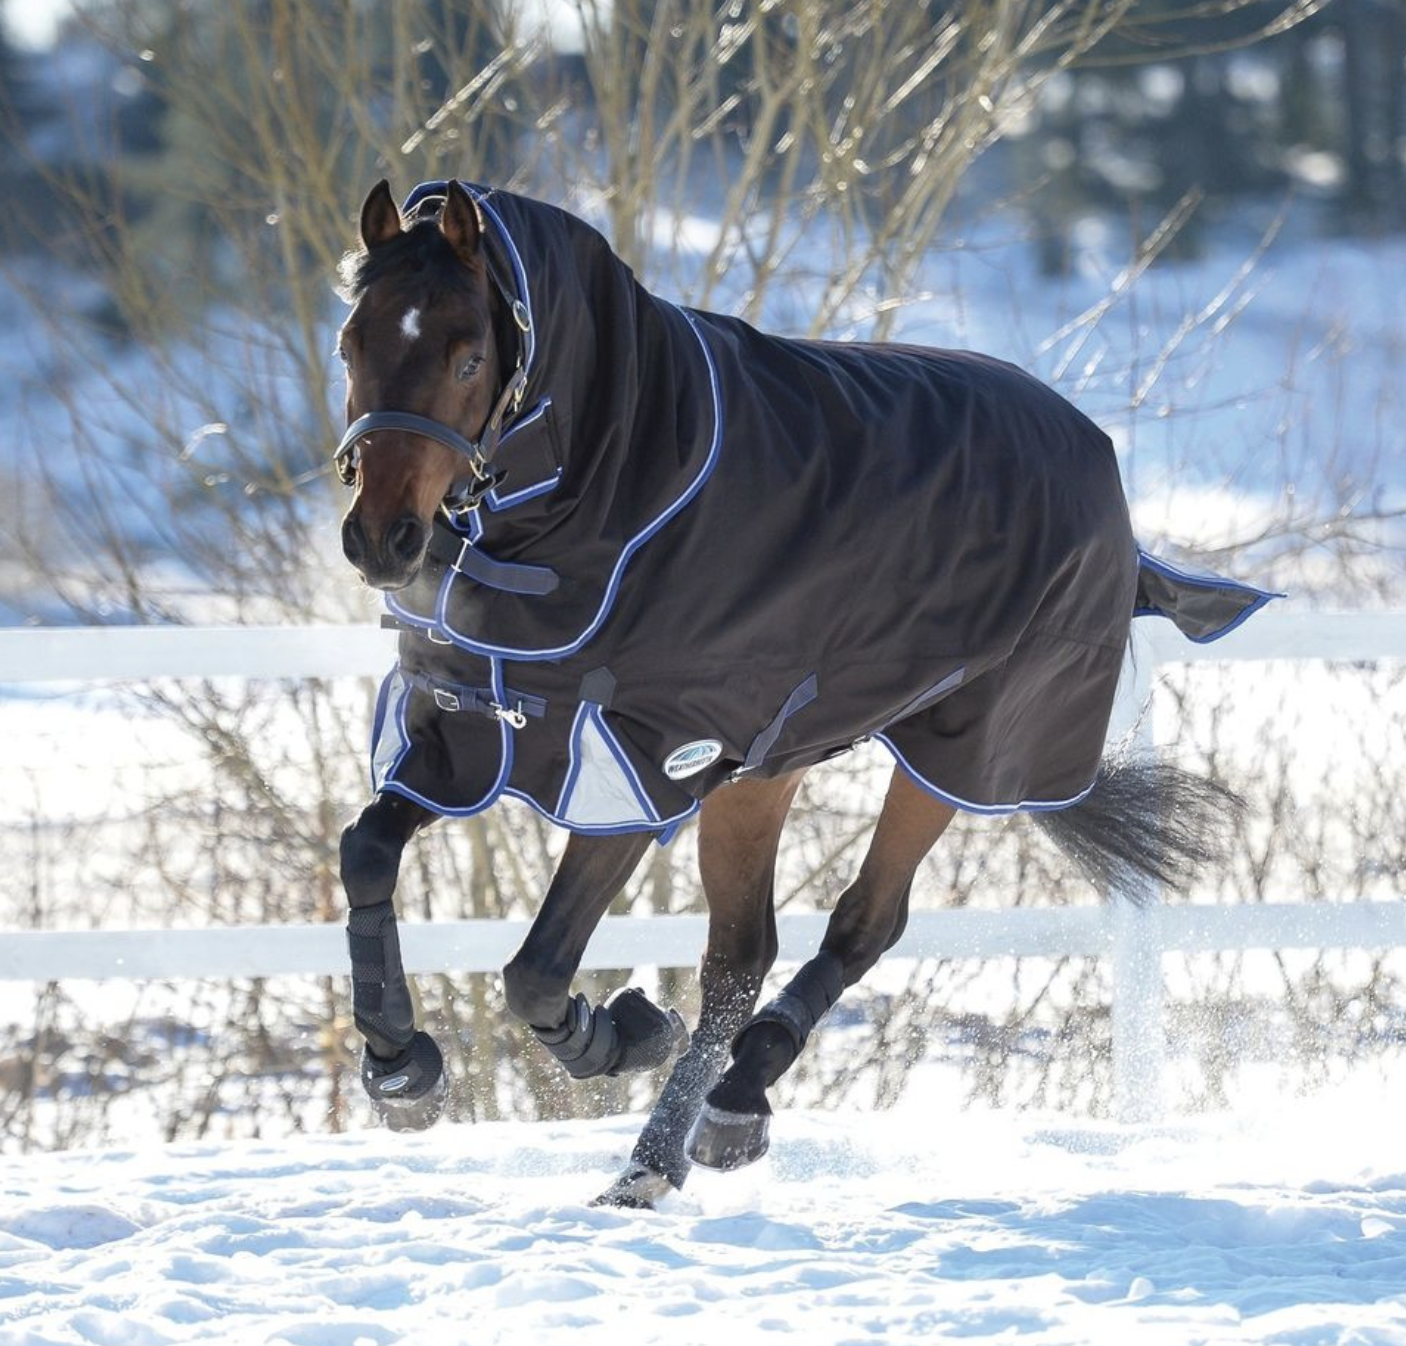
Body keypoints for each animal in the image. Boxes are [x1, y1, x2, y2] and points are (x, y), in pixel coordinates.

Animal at [331, 178, 1276, 1209]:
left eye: (469, 355)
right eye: (352, 344)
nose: (382, 540)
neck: (622, 479)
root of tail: (1105, 473)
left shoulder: (640, 763)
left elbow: (536, 973)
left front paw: (622, 1033)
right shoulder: (463, 729)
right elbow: (367, 853)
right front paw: (401, 1069)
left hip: (958, 753)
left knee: (862, 924)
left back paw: (721, 1112)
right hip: (767, 772)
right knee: (741, 958)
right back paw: (671, 1151)